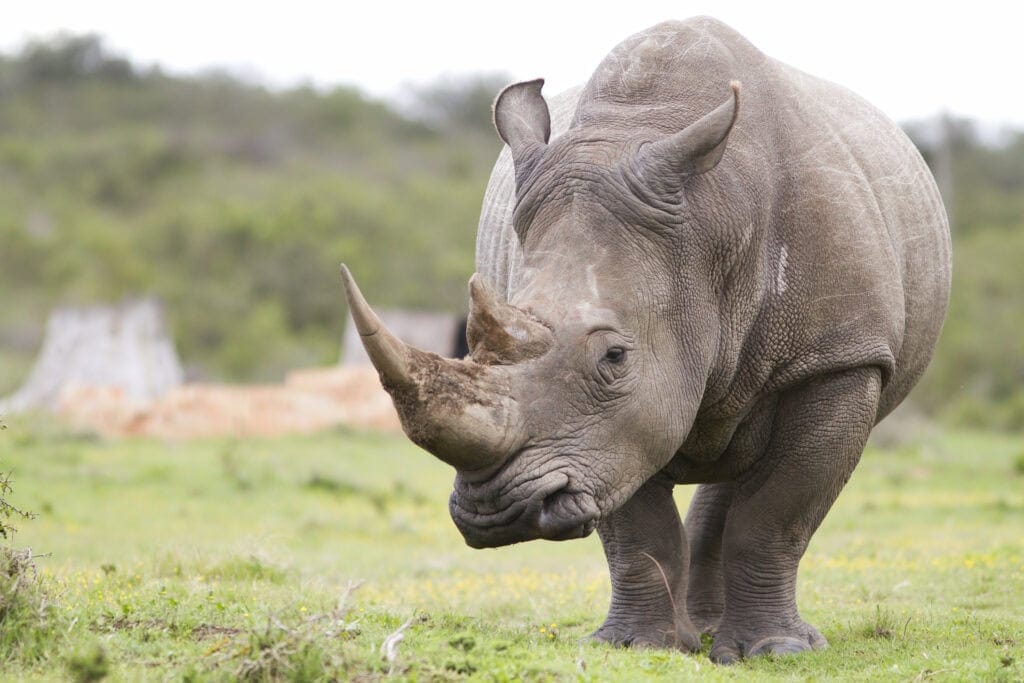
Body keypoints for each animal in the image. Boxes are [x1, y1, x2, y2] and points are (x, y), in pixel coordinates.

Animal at [342, 17, 950, 663]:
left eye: (614, 356)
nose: (495, 512)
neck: (712, 229)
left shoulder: (839, 357)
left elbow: (777, 514)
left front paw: (778, 651)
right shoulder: (602, 435)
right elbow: (636, 526)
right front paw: (637, 647)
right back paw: (702, 630)